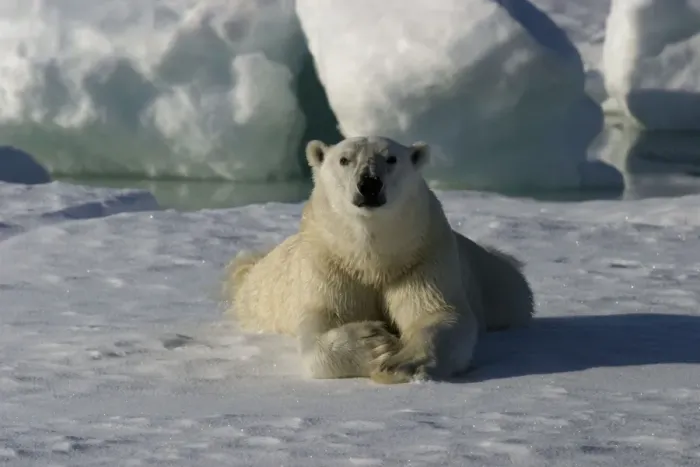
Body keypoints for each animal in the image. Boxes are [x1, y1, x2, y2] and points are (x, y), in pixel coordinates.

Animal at [223, 136, 535, 384]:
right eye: (344, 159)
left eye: (391, 158)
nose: (369, 183)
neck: (371, 258)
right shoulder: (330, 264)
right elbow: (321, 322)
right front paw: (375, 343)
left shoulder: (422, 259)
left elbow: (438, 313)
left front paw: (403, 362)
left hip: (498, 286)